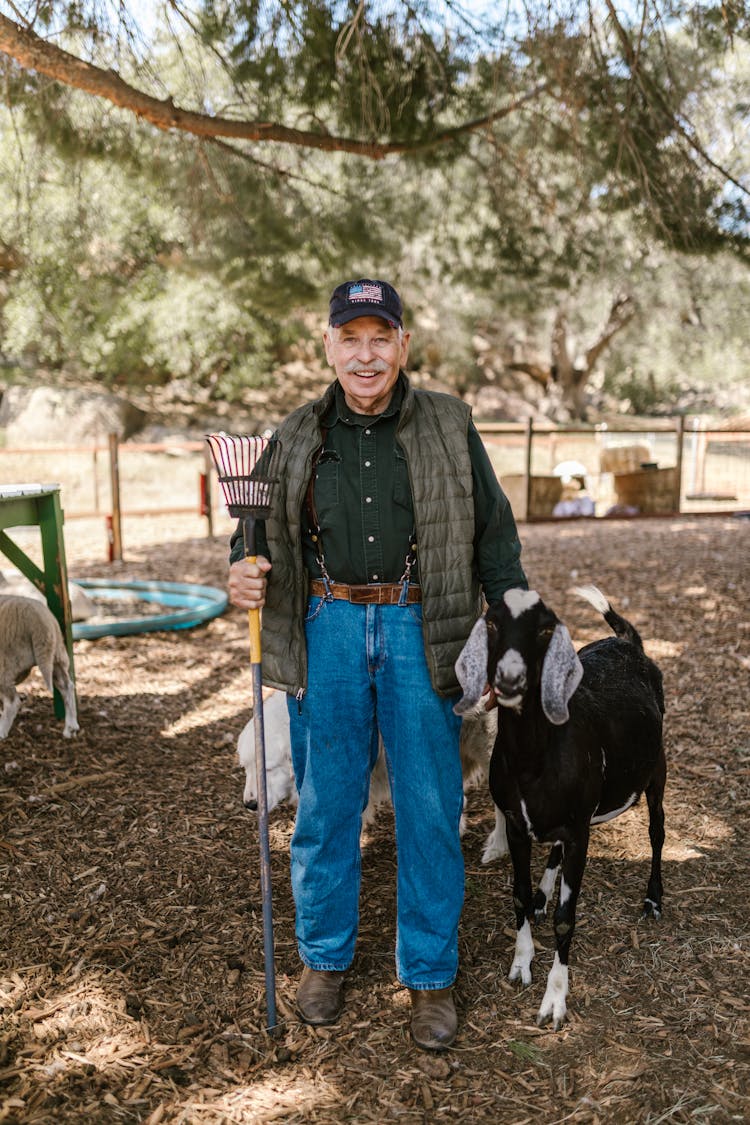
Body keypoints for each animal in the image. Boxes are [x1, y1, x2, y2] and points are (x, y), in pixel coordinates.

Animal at [0, 594, 79, 742]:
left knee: (13, 701)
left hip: (7, 662)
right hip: (56, 657)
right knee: (67, 686)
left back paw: (1, 732)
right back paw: (71, 728)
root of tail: (41, 622)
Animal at [454, 589, 665, 1030]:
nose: (509, 679)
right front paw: (521, 964)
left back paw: (654, 898)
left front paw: (554, 1001)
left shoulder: (578, 828)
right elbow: (517, 896)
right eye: (491, 623)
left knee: (657, 830)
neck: (534, 762)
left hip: (657, 766)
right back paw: (542, 894)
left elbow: (567, 917)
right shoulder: (518, 824)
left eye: (545, 629)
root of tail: (627, 642)